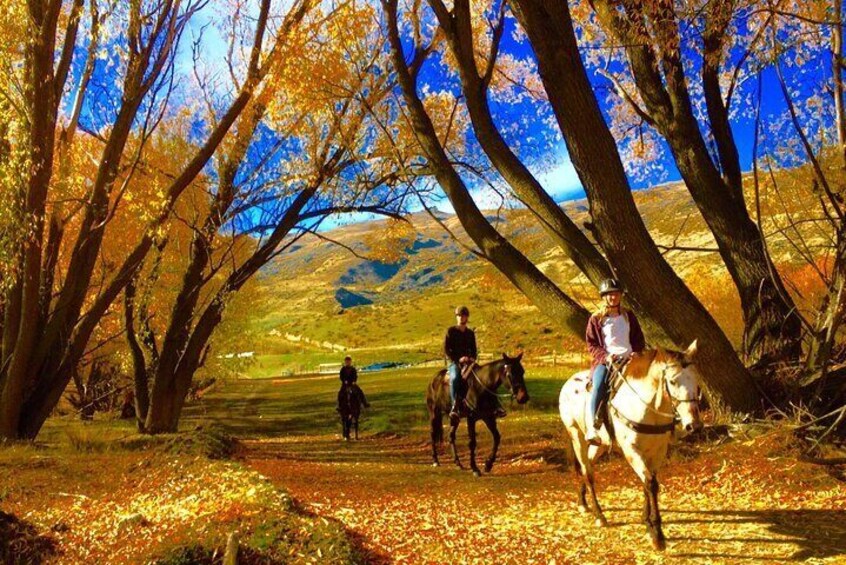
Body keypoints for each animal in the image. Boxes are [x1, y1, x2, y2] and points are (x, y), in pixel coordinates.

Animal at [560, 342, 704, 548]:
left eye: (696, 380)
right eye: (673, 382)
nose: (694, 425)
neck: (647, 408)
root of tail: (569, 383)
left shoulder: (657, 451)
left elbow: (648, 483)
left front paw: (648, 523)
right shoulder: (632, 451)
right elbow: (650, 484)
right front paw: (657, 534)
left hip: (600, 444)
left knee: (588, 465)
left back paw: (582, 502)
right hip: (576, 435)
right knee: (587, 472)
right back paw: (599, 515)